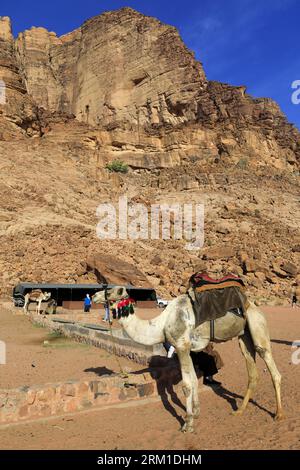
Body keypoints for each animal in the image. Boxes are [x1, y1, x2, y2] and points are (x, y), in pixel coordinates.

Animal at [92, 286, 284, 434]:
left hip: (257, 324)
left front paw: (188, 423)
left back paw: (279, 414)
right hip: (244, 336)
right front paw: (196, 413)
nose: (93, 296)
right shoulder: (187, 349)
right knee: (251, 369)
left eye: (109, 291)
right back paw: (240, 411)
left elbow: (186, 386)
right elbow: (193, 380)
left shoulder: (181, 346)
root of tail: (254, 306)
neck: (161, 325)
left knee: (270, 363)